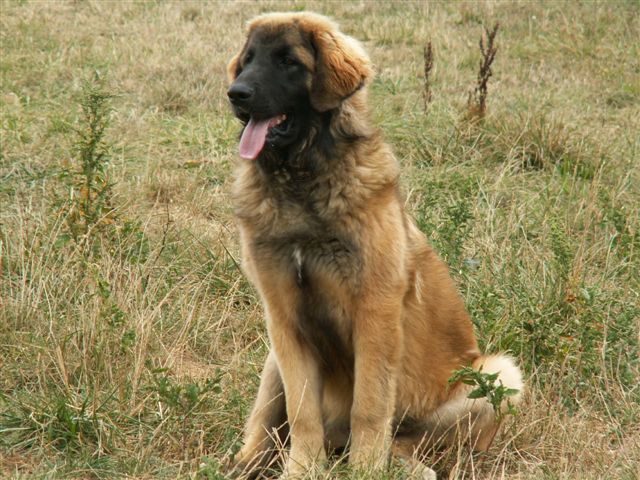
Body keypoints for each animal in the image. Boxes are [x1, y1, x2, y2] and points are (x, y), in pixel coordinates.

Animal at [225, 12, 523, 478]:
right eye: (249, 59)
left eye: (288, 61)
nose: (236, 94)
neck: (302, 183)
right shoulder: (284, 318)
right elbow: (301, 411)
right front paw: (302, 469)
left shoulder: (375, 314)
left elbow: (369, 406)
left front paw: (365, 469)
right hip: (273, 357)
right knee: (265, 424)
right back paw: (245, 462)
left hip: (500, 377)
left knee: (411, 440)